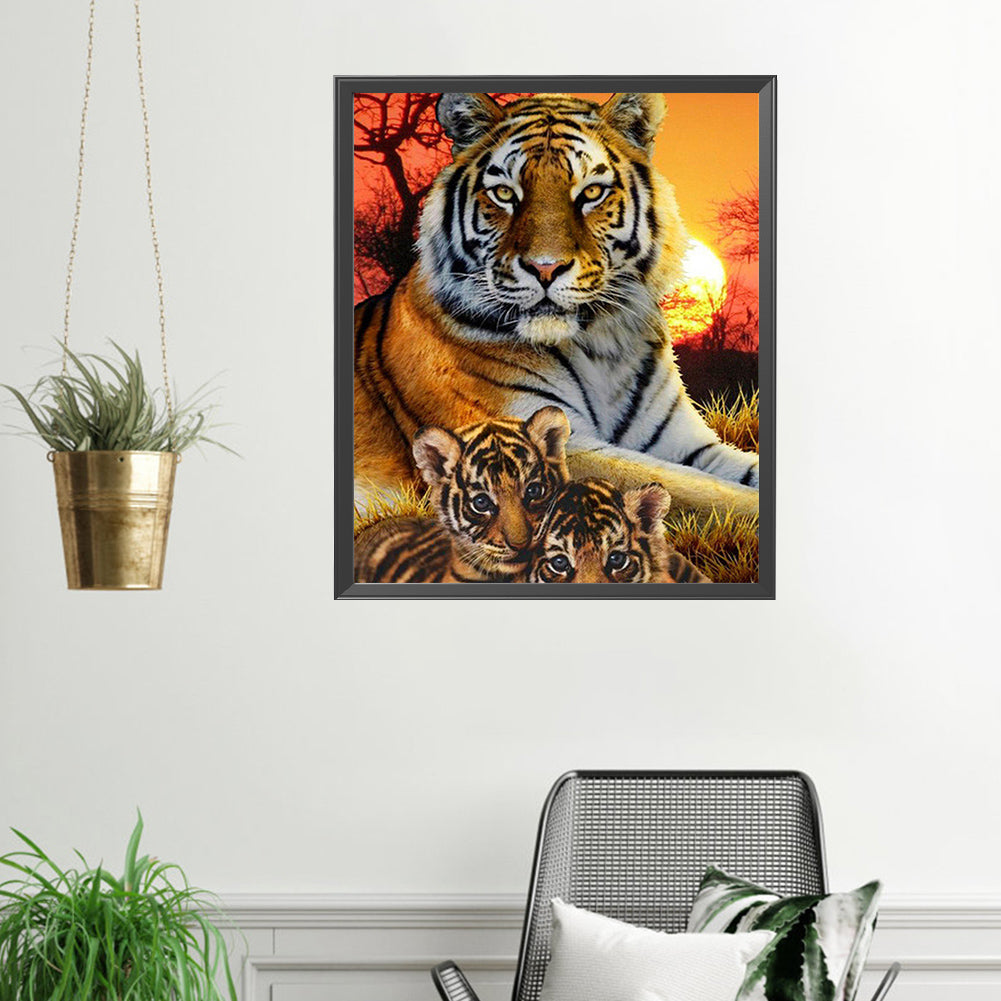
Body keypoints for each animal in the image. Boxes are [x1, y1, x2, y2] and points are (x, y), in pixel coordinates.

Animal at [354, 91, 759, 519]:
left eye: (591, 193)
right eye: (505, 194)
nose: (545, 268)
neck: (602, 347)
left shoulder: (686, 442)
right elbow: (701, 491)